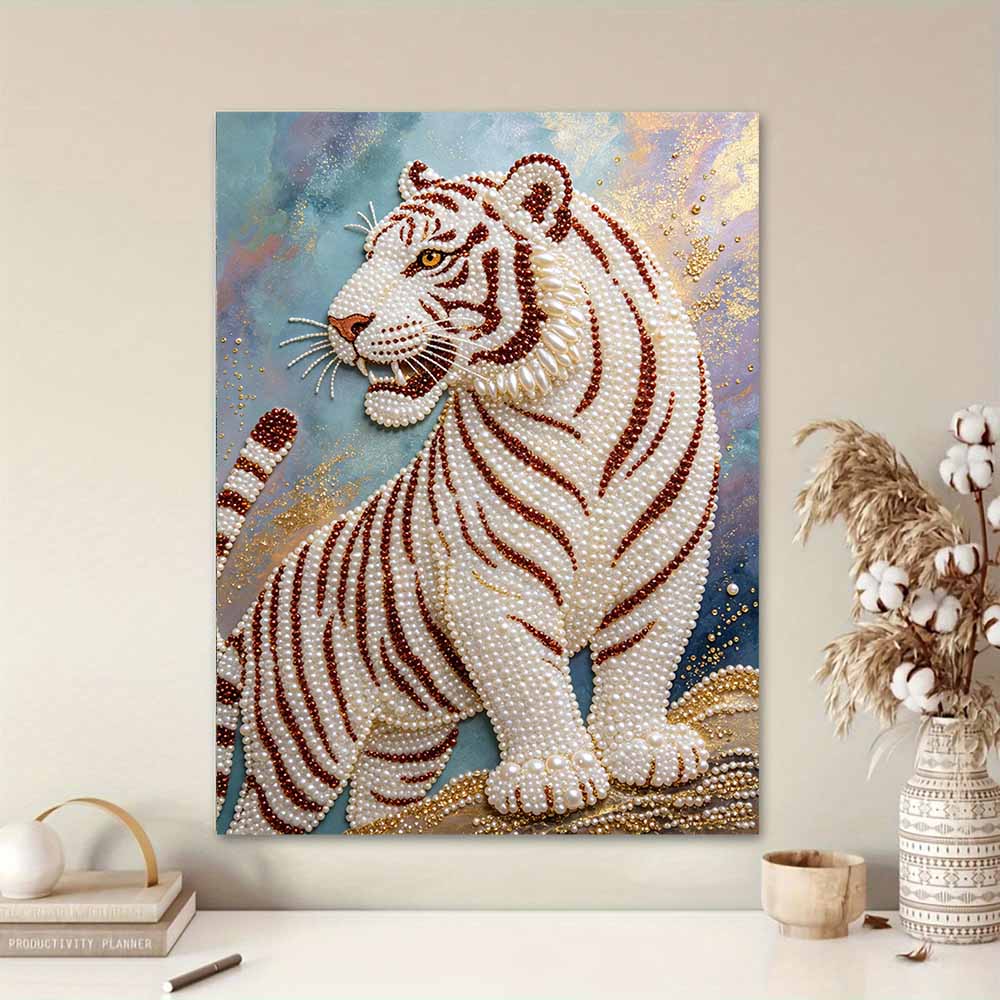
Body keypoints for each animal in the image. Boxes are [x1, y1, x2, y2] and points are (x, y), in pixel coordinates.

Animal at [215, 154, 721, 833]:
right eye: (367, 254)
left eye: (429, 258)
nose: (340, 324)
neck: (579, 410)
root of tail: (255, 613)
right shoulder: (495, 577)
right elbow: (529, 680)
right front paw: (551, 779)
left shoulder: (667, 557)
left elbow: (644, 654)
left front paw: (646, 748)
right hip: (305, 738)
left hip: (405, 746)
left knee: (376, 808)